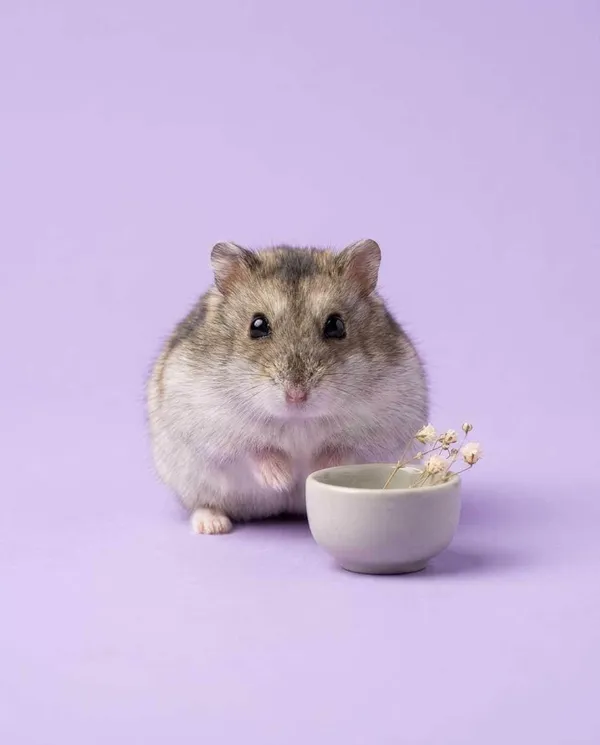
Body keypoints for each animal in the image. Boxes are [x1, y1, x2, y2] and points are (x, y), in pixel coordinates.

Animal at [146, 239, 428, 534]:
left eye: (336, 325)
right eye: (257, 325)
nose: (296, 395)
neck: (297, 420)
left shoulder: (376, 431)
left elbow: (340, 450)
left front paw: (310, 473)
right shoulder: (216, 426)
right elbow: (255, 450)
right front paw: (283, 479)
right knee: (204, 503)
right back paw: (213, 526)